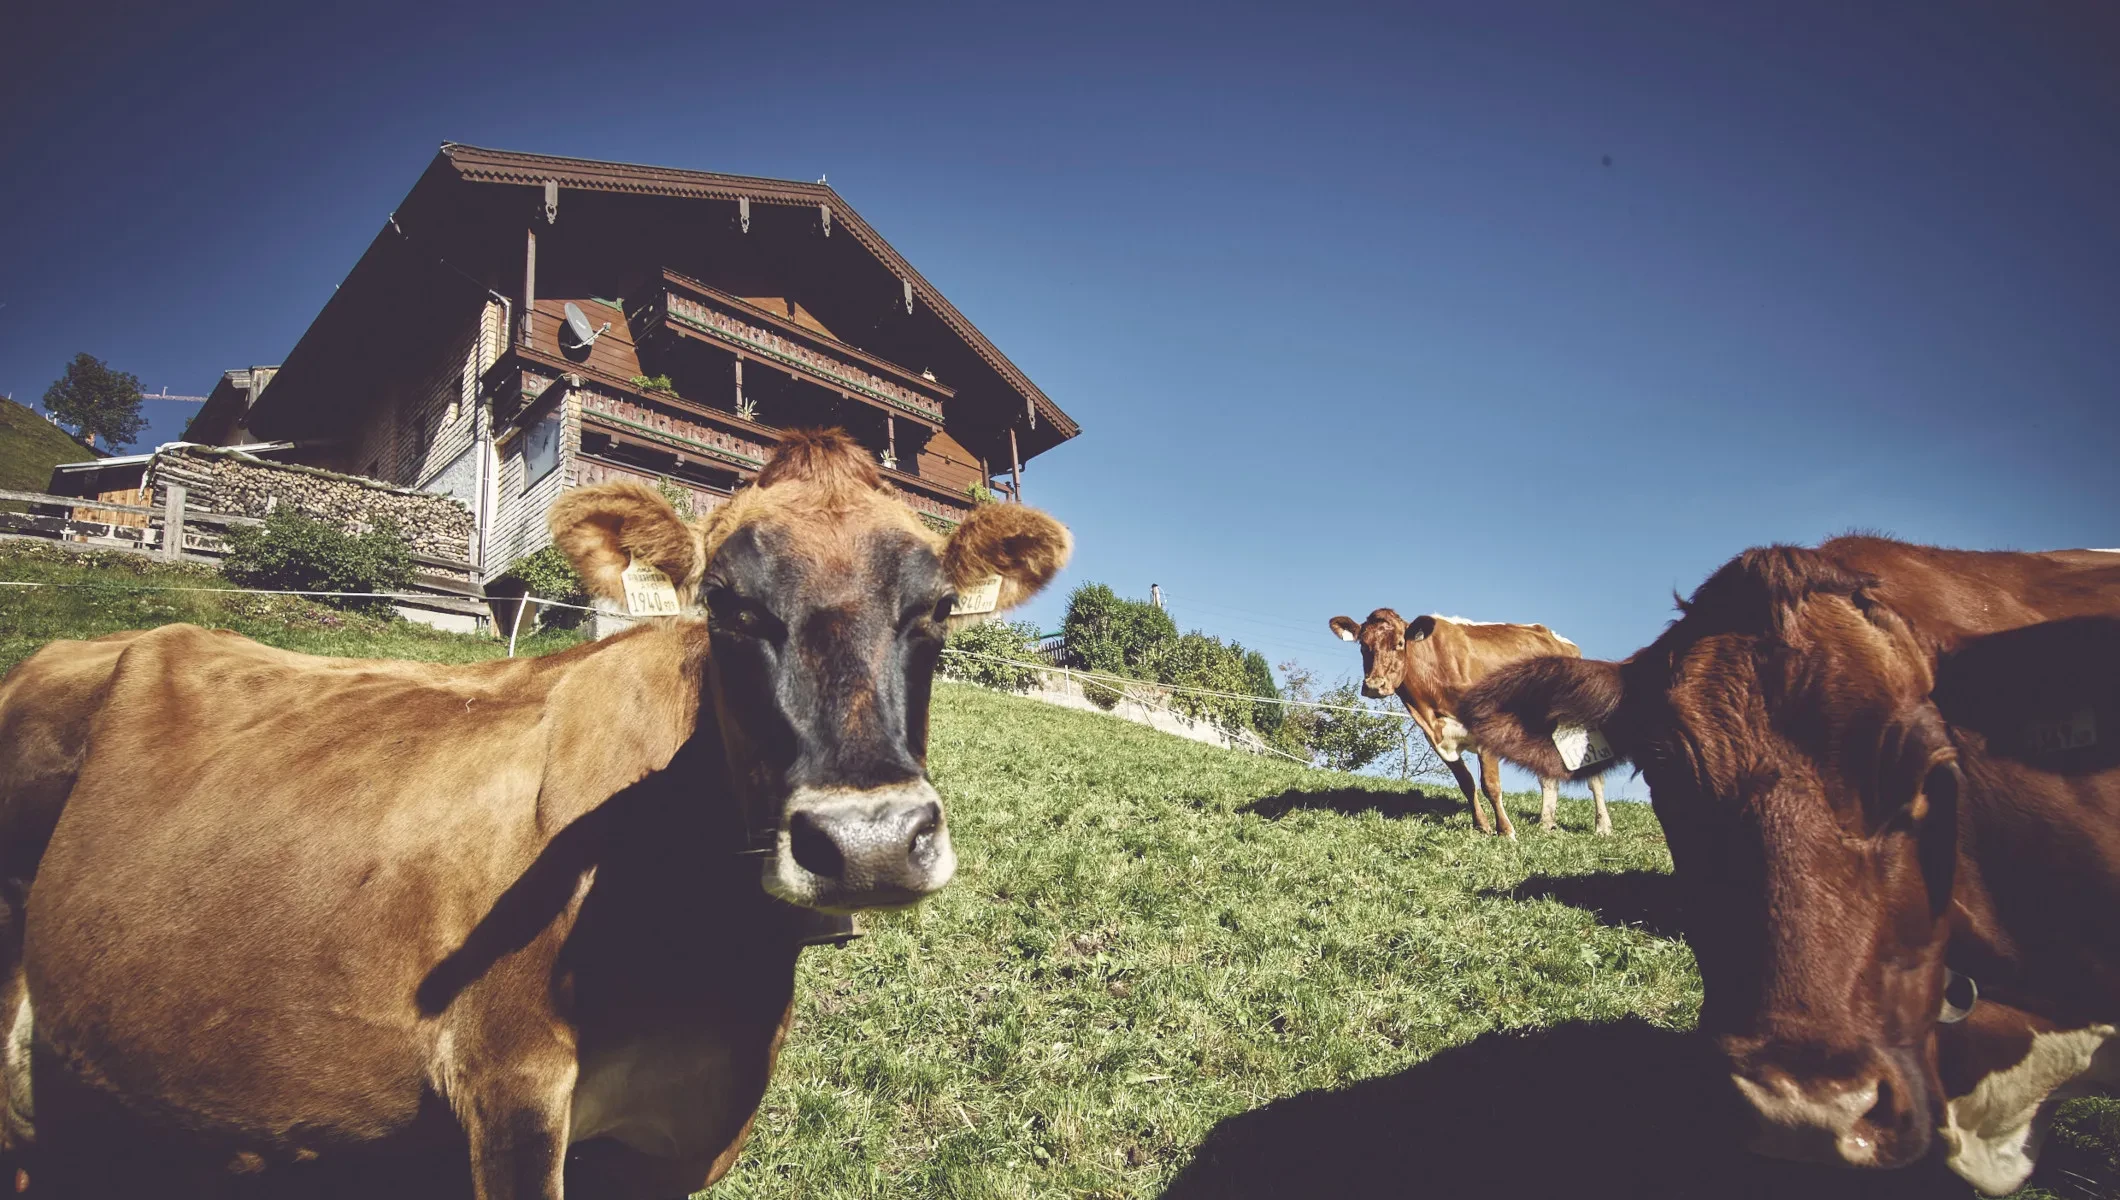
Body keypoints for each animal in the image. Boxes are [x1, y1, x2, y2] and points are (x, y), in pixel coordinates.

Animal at [1322, 614, 1602, 843]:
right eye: (1362, 645)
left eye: (1400, 643)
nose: (1373, 685)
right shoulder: (1438, 739)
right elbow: (1466, 783)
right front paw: (1482, 826)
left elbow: (1490, 785)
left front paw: (1506, 831)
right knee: (1548, 779)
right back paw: (1546, 824)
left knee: (1594, 776)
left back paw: (1602, 827)